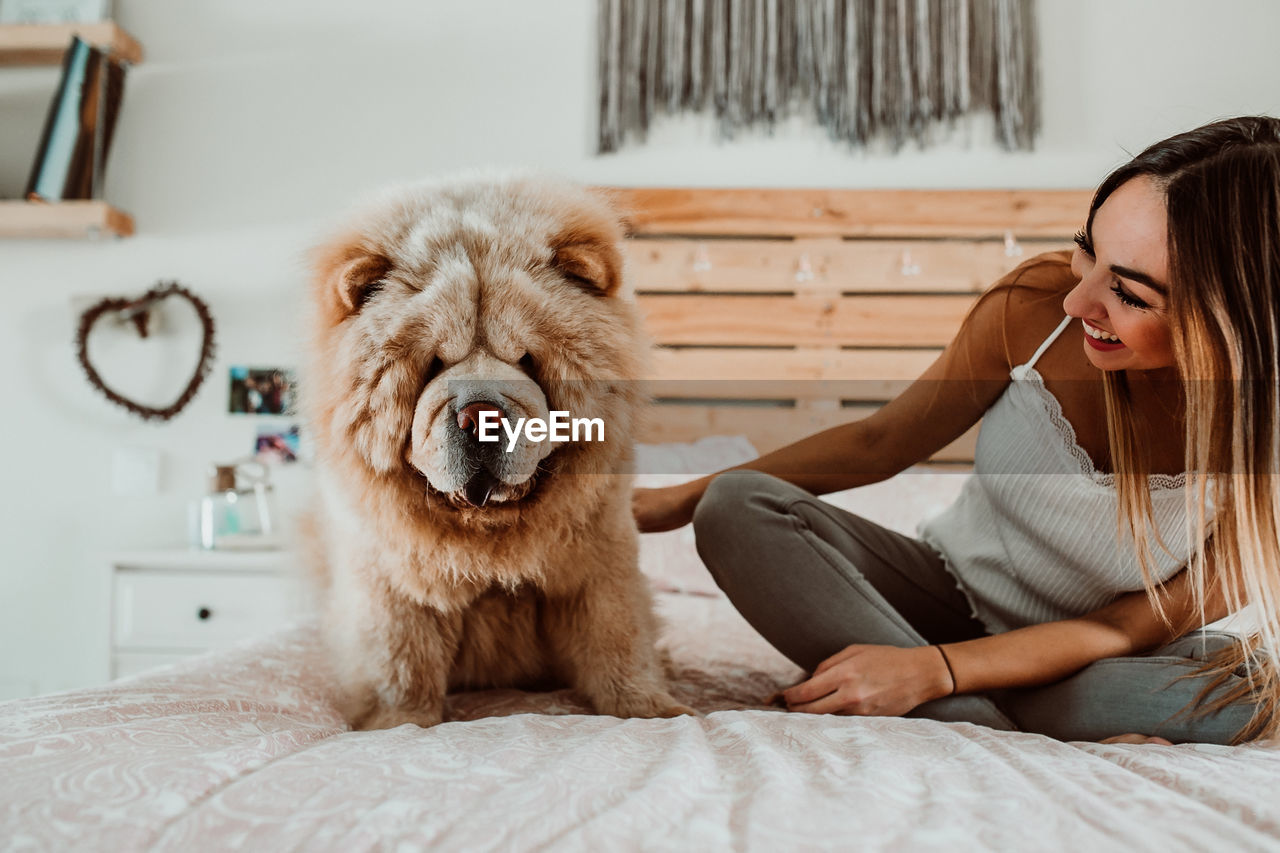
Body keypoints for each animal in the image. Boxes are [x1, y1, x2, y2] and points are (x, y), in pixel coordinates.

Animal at [300, 174, 696, 732]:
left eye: (527, 360)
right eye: (432, 364)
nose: (479, 414)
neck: (488, 540)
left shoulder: (600, 563)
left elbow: (616, 636)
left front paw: (650, 709)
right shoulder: (391, 582)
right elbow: (399, 659)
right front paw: (396, 723)